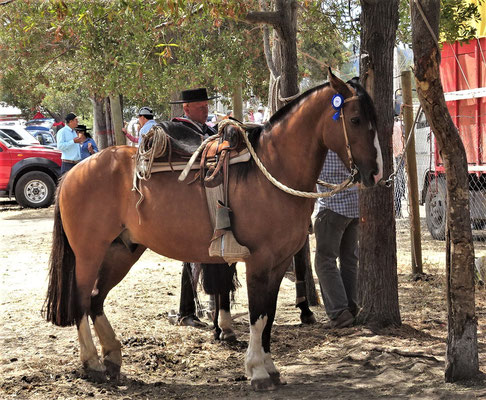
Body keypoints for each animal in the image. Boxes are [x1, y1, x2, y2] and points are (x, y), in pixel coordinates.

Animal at [42, 72, 384, 390]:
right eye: (355, 119)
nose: (375, 174)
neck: (271, 171)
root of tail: (75, 171)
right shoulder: (259, 262)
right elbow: (259, 314)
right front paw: (258, 370)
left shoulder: (278, 262)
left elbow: (270, 314)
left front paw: (270, 367)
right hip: (89, 254)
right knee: (81, 301)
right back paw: (92, 363)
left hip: (122, 251)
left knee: (96, 300)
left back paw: (112, 356)